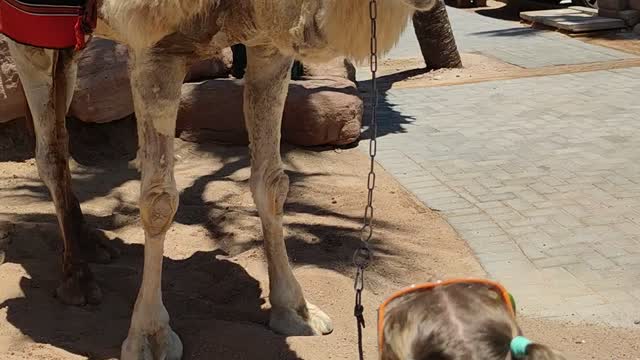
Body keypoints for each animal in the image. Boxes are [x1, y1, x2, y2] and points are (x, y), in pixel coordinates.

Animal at [6, 0, 436, 358]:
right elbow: (159, 200)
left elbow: (273, 183)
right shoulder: (153, 48)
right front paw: (150, 334)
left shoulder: (268, 44)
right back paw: (77, 279)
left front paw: (295, 309)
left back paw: (91, 245)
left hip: (72, 39)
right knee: (50, 151)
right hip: (26, 35)